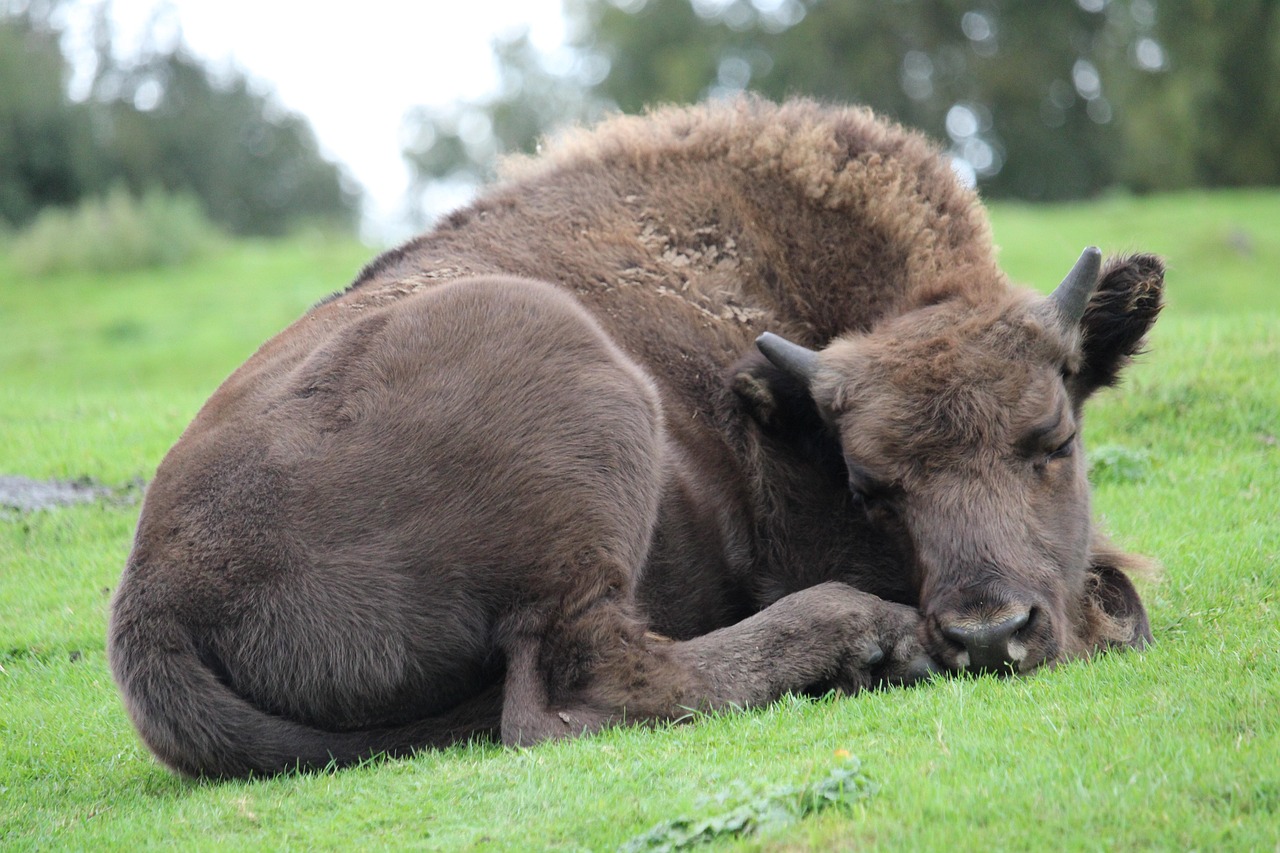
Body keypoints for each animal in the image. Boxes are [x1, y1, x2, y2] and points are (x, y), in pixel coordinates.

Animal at [109, 98, 1163, 779]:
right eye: (869, 485)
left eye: (1054, 437)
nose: (988, 632)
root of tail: (151, 606)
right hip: (575, 390)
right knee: (578, 688)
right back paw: (871, 639)